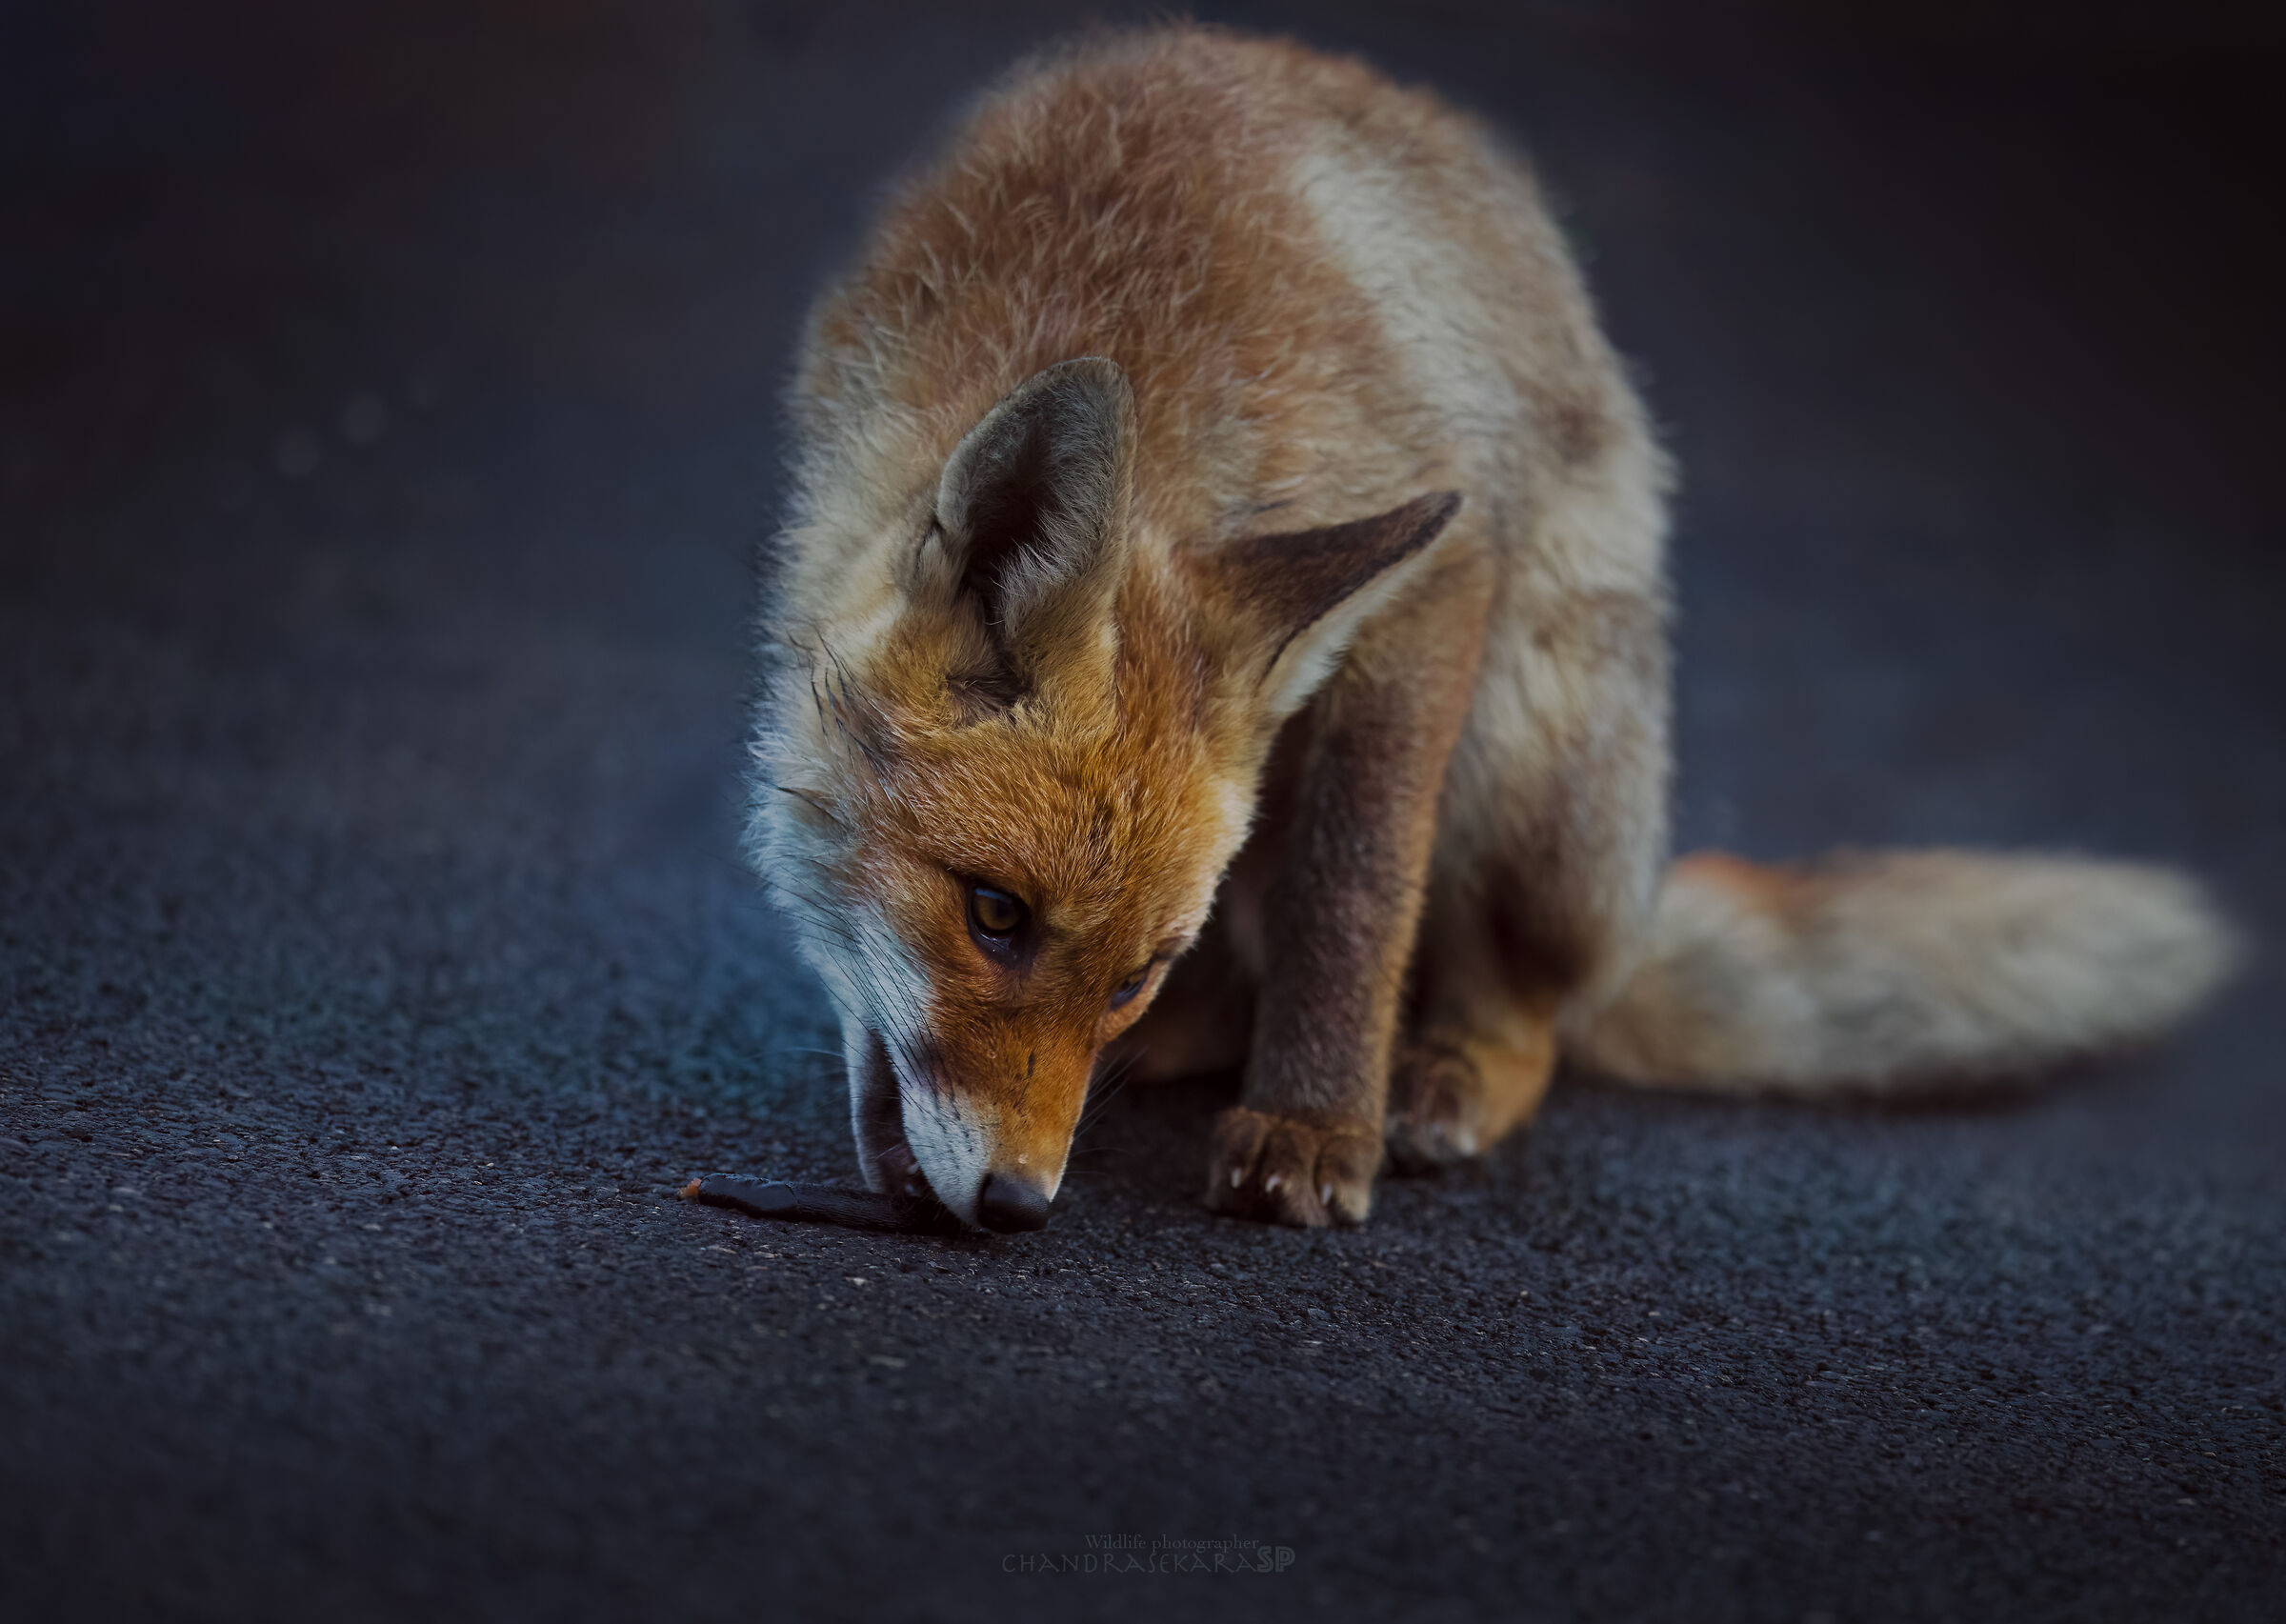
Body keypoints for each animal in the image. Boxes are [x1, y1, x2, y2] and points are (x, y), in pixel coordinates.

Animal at [748, 26, 2237, 1232]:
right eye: (994, 916)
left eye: (1132, 971)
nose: (1016, 1205)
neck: (1114, 298)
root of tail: (1626, 917)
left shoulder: (1437, 566)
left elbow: (1353, 895)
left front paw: (1312, 1128)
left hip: (1524, 736)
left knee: (1526, 1014)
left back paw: (1440, 1071)